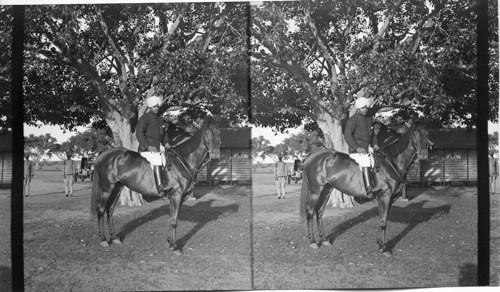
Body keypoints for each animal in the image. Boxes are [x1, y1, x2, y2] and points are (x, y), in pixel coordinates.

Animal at [91, 116, 220, 253]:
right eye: (206, 133)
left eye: (219, 132)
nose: (216, 154)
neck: (183, 162)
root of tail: (103, 155)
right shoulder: (175, 195)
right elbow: (174, 220)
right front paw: (174, 246)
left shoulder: (180, 197)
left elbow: (173, 218)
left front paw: (170, 241)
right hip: (106, 189)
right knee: (101, 210)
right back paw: (103, 240)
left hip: (117, 187)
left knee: (110, 210)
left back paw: (115, 238)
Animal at [300, 120, 430, 254]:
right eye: (414, 134)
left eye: (426, 133)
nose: (423, 155)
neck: (391, 163)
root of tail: (311, 157)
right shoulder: (384, 196)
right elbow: (383, 221)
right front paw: (383, 248)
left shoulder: (390, 198)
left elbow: (383, 219)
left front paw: (380, 244)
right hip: (315, 191)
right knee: (310, 213)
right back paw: (313, 242)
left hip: (327, 190)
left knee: (319, 212)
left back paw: (325, 240)